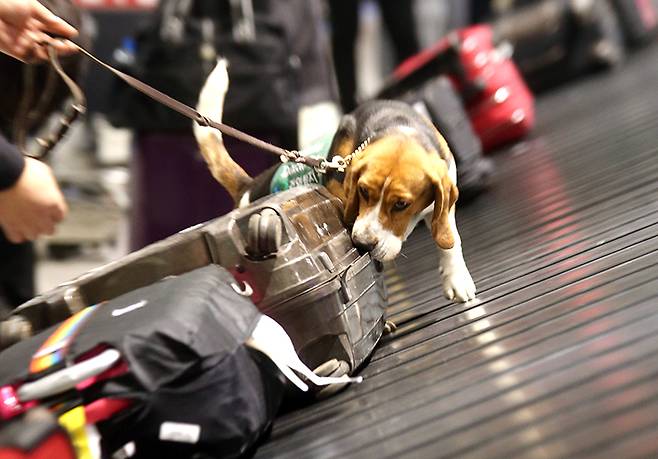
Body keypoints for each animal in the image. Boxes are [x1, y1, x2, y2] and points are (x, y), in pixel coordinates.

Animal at [192, 62, 474, 306]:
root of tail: (248, 188)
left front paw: (456, 277)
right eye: (362, 191)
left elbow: (451, 239)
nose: (363, 244)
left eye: (402, 204)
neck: (398, 128)